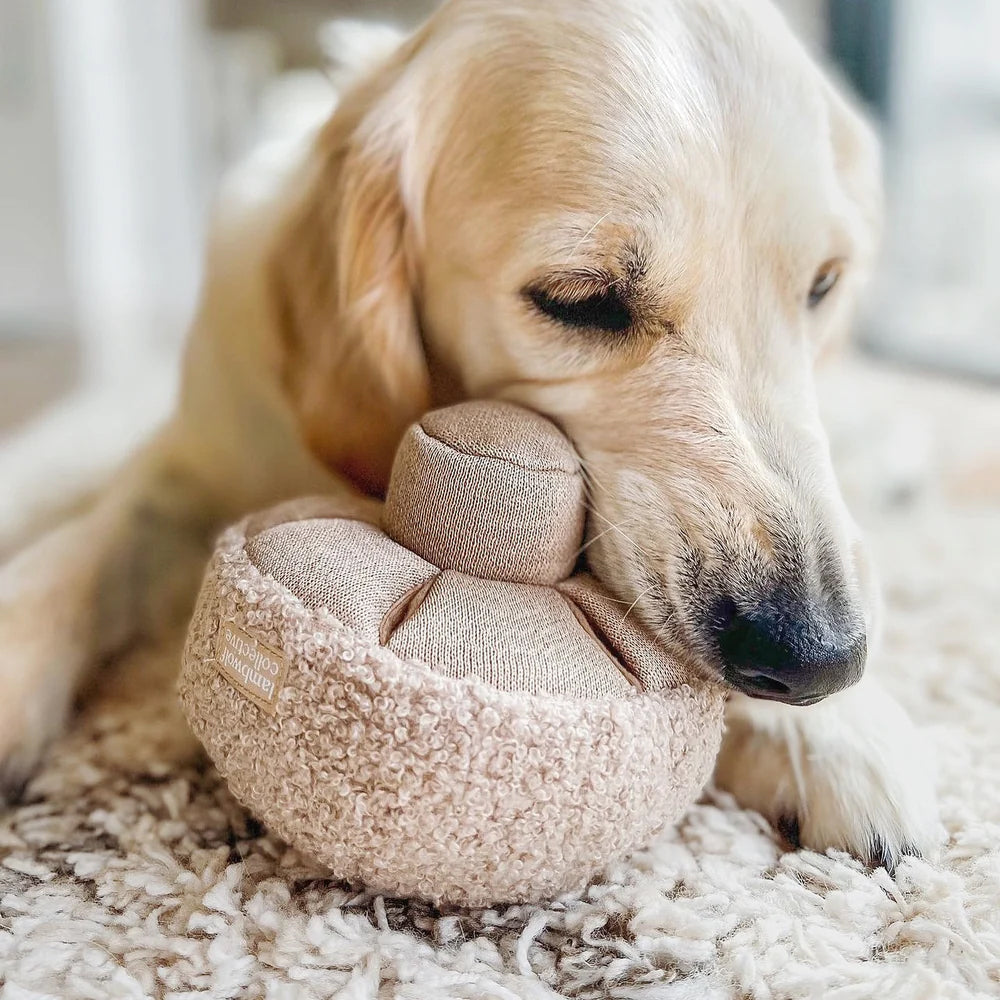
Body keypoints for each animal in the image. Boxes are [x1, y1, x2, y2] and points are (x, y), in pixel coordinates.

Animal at [0, 0, 936, 868]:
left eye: (823, 284)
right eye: (580, 299)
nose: (818, 655)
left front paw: (839, 731)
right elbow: (87, 544)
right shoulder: (194, 452)